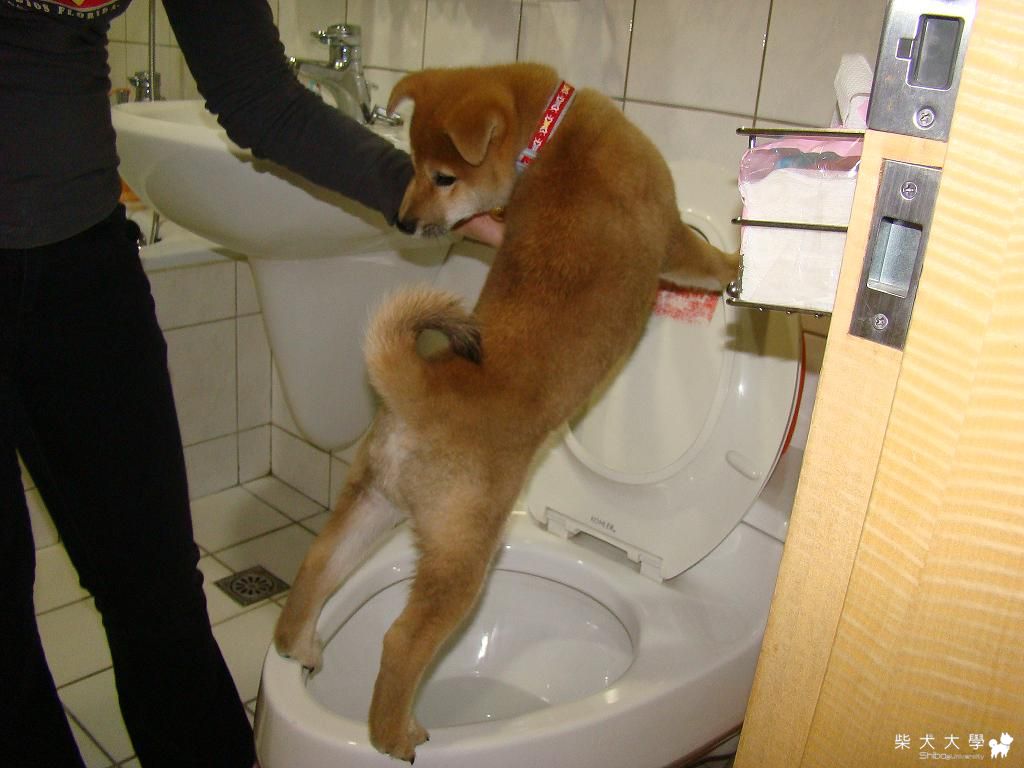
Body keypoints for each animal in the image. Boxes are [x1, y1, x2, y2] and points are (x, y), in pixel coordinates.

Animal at [273, 63, 738, 762]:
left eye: (439, 175)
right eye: (422, 168)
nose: (403, 221)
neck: (551, 133)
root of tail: (423, 388)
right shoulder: (674, 238)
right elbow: (707, 263)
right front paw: (742, 266)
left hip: (372, 500)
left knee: (316, 566)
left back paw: (298, 642)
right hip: (464, 558)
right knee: (401, 641)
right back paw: (394, 734)